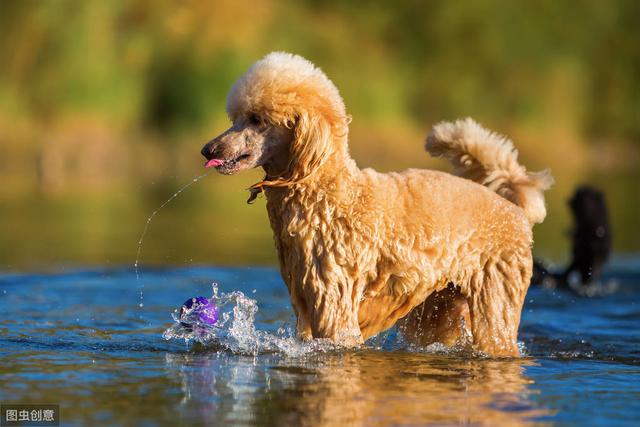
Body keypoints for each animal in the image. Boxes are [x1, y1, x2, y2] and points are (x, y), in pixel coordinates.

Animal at [202, 51, 552, 358]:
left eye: (257, 119)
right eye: (235, 118)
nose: (208, 150)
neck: (324, 190)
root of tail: (515, 208)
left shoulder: (335, 304)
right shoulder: (306, 300)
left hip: (495, 299)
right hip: (438, 310)